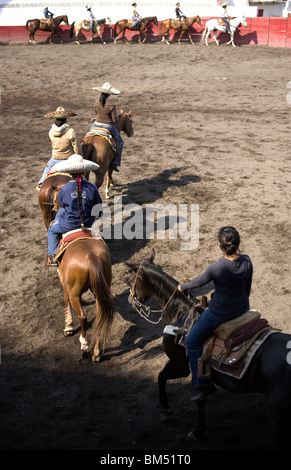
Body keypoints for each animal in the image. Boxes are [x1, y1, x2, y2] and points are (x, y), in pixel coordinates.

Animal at [127, 248, 291, 446]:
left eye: (132, 279)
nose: (130, 300)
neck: (181, 314)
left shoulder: (180, 366)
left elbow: (162, 377)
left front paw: (171, 411)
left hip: (282, 415)